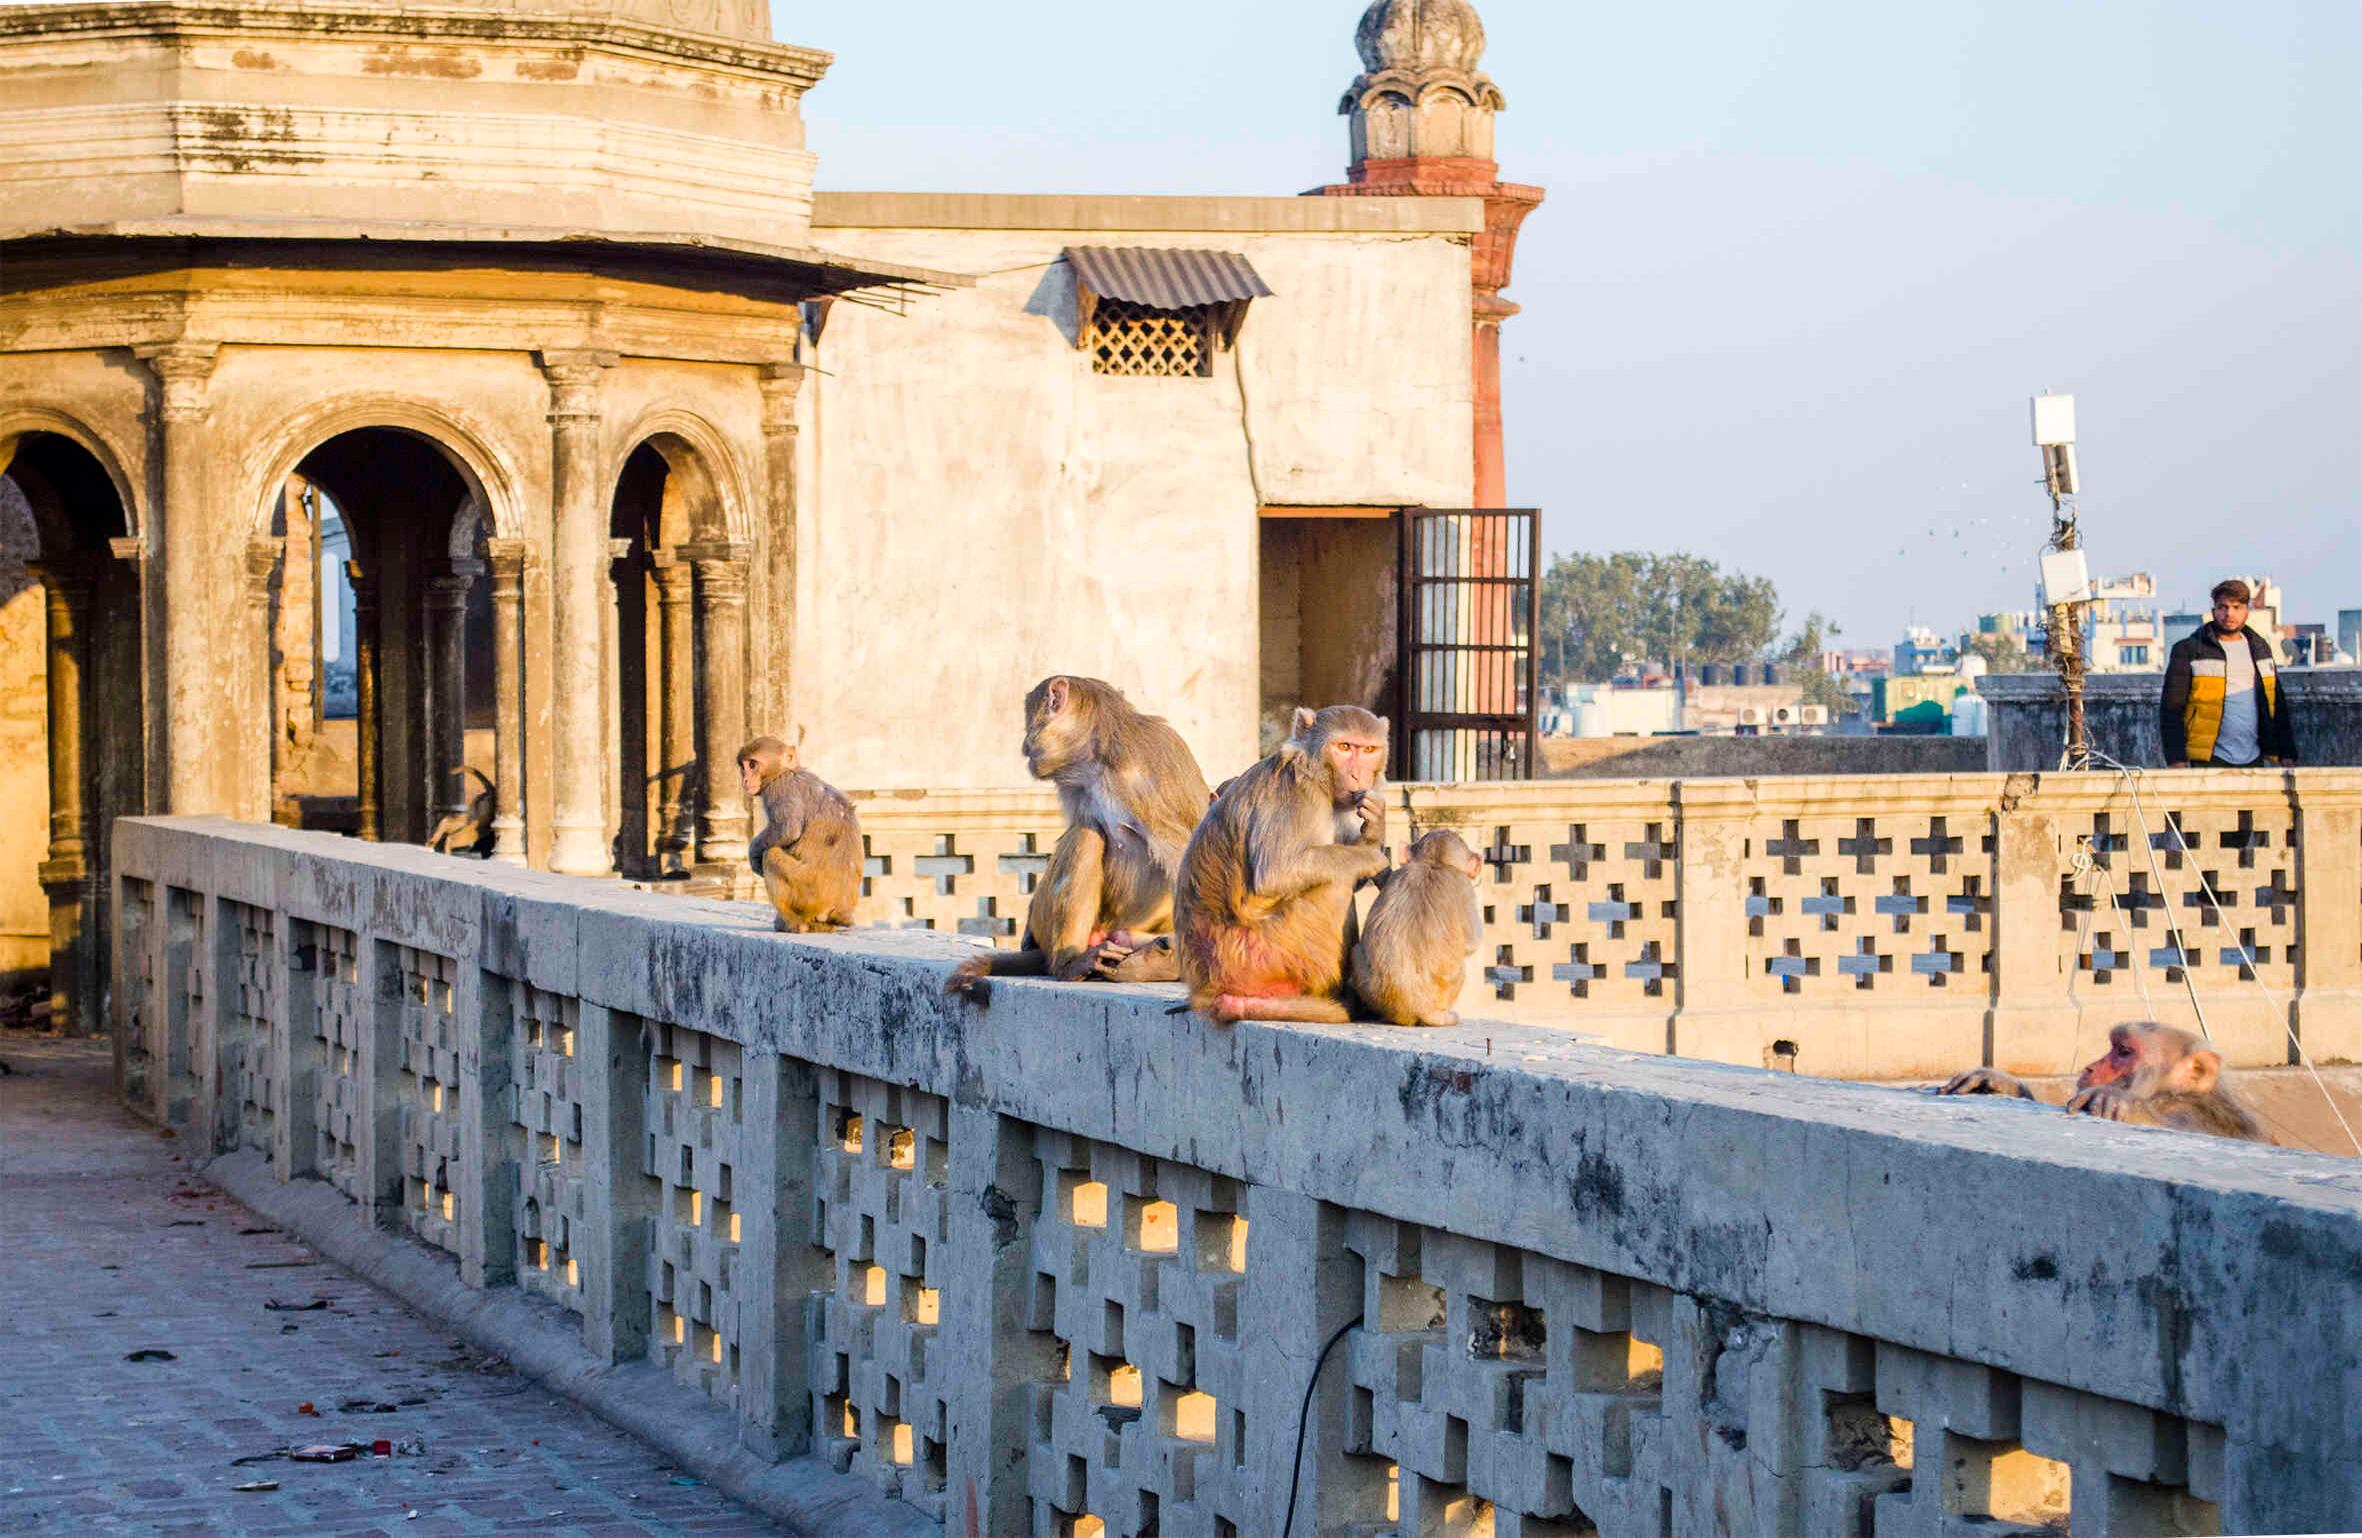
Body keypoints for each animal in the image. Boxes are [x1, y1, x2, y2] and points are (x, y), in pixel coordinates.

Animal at [738, 734, 862, 935]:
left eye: (752, 764)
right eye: (743, 766)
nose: (745, 780)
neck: (786, 771)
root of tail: (841, 910)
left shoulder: (780, 787)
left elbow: (788, 829)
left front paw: (753, 854)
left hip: (809, 891)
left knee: (771, 854)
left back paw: (791, 922)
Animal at [947, 676, 1211, 993]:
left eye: (1030, 722)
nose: (1025, 744)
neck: (1102, 762)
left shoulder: (1148, 780)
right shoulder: (1076, 786)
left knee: (1087, 834)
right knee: (1087, 832)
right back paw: (1071, 963)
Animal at [1173, 704, 1391, 1025]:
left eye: (1368, 750)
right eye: (1344, 747)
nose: (1356, 774)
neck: (1320, 778)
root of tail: (1204, 987)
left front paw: (1375, 826)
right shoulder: (1295, 794)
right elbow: (1277, 872)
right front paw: (1373, 854)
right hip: (1261, 958)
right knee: (1334, 885)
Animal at [1350, 829, 1485, 1028]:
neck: (1433, 863)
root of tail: (1418, 1006)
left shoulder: (1399, 874)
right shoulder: (1464, 887)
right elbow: (1472, 942)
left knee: (1355, 951)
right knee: (1461, 969)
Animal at [1938, 1021, 2268, 1142]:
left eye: (2124, 1051)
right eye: (2112, 1046)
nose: (2090, 1067)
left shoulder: (2190, 1113)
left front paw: (2120, 1103)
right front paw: (1998, 1082)